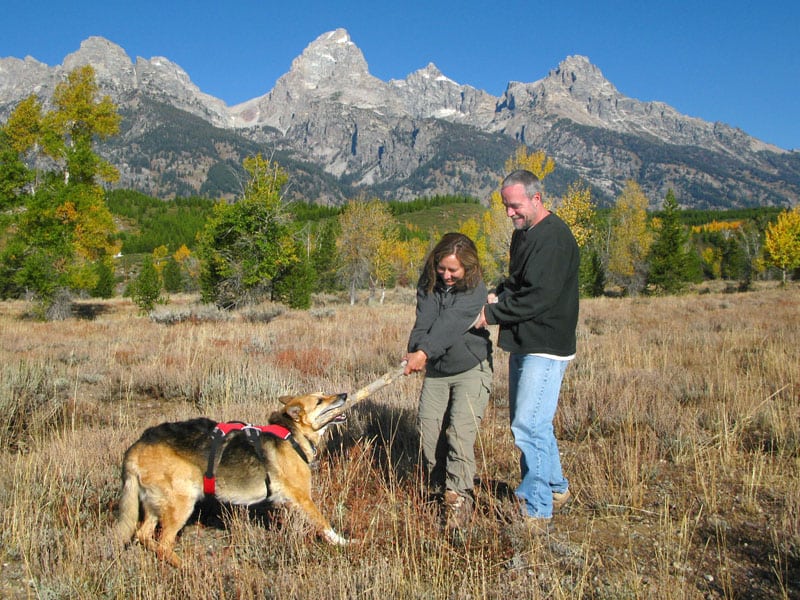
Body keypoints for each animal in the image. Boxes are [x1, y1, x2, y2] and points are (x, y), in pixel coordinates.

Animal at [111, 392, 348, 564]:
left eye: (323, 394)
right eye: (319, 400)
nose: (344, 395)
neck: (292, 435)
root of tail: (137, 447)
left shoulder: (290, 501)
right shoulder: (303, 498)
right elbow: (324, 523)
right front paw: (343, 542)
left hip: (156, 504)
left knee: (143, 535)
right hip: (181, 504)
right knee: (163, 543)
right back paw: (183, 566)